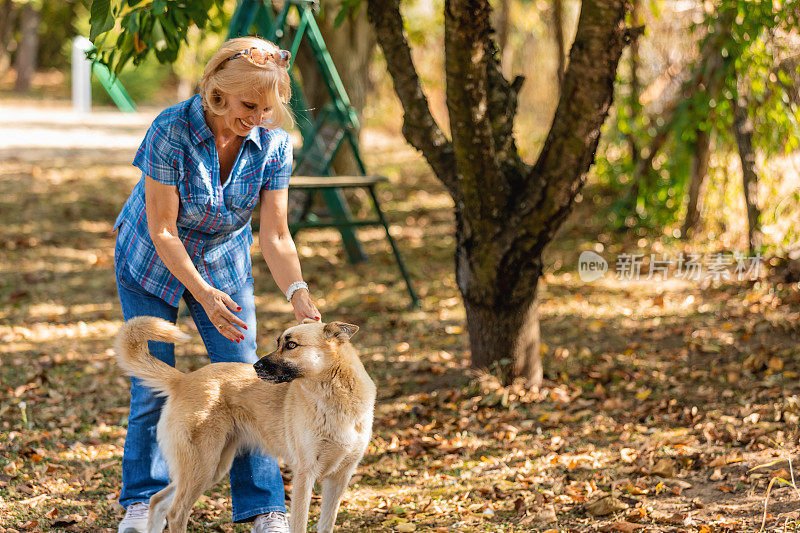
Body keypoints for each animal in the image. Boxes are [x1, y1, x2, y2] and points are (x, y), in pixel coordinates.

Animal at [114, 316, 376, 532]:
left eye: (291, 345)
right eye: (280, 342)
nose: (255, 366)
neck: (335, 399)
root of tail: (183, 380)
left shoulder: (340, 478)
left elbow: (326, 524)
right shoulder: (305, 474)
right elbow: (300, 525)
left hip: (210, 468)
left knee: (157, 500)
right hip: (203, 466)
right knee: (176, 513)